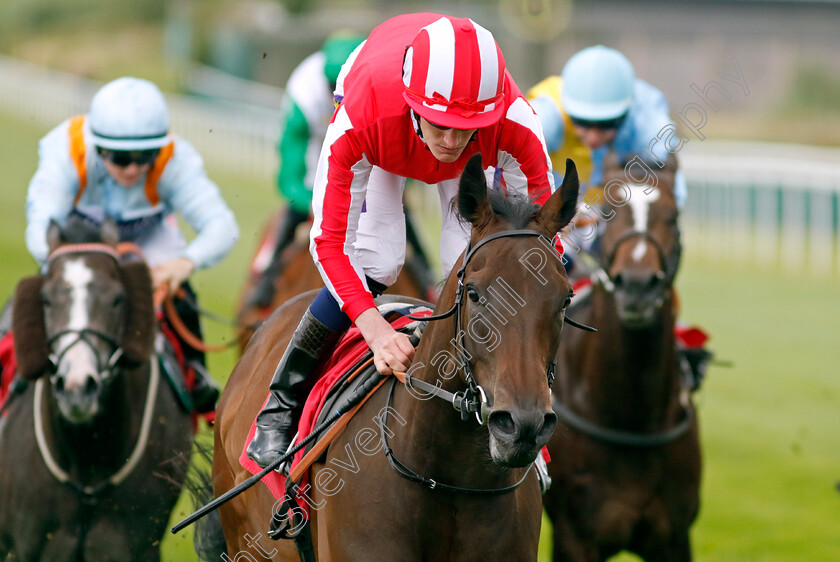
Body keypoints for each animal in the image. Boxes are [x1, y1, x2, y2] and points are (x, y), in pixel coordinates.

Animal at [0, 217, 192, 556]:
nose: (77, 388)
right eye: (46, 299)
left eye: (118, 299)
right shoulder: (28, 545)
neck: (87, 457)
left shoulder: (134, 544)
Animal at [540, 154, 700, 560]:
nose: (638, 287)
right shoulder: (575, 537)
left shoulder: (675, 537)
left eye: (673, 216)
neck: (633, 417)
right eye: (608, 213)